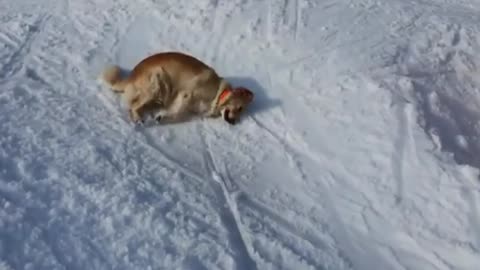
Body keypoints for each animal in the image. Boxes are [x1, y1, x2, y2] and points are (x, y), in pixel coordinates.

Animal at [99, 50, 253, 124]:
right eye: (240, 108)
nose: (234, 123)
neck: (219, 94)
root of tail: (132, 75)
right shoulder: (187, 94)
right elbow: (177, 111)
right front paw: (161, 116)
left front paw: (161, 116)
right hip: (159, 79)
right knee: (133, 105)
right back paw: (138, 118)